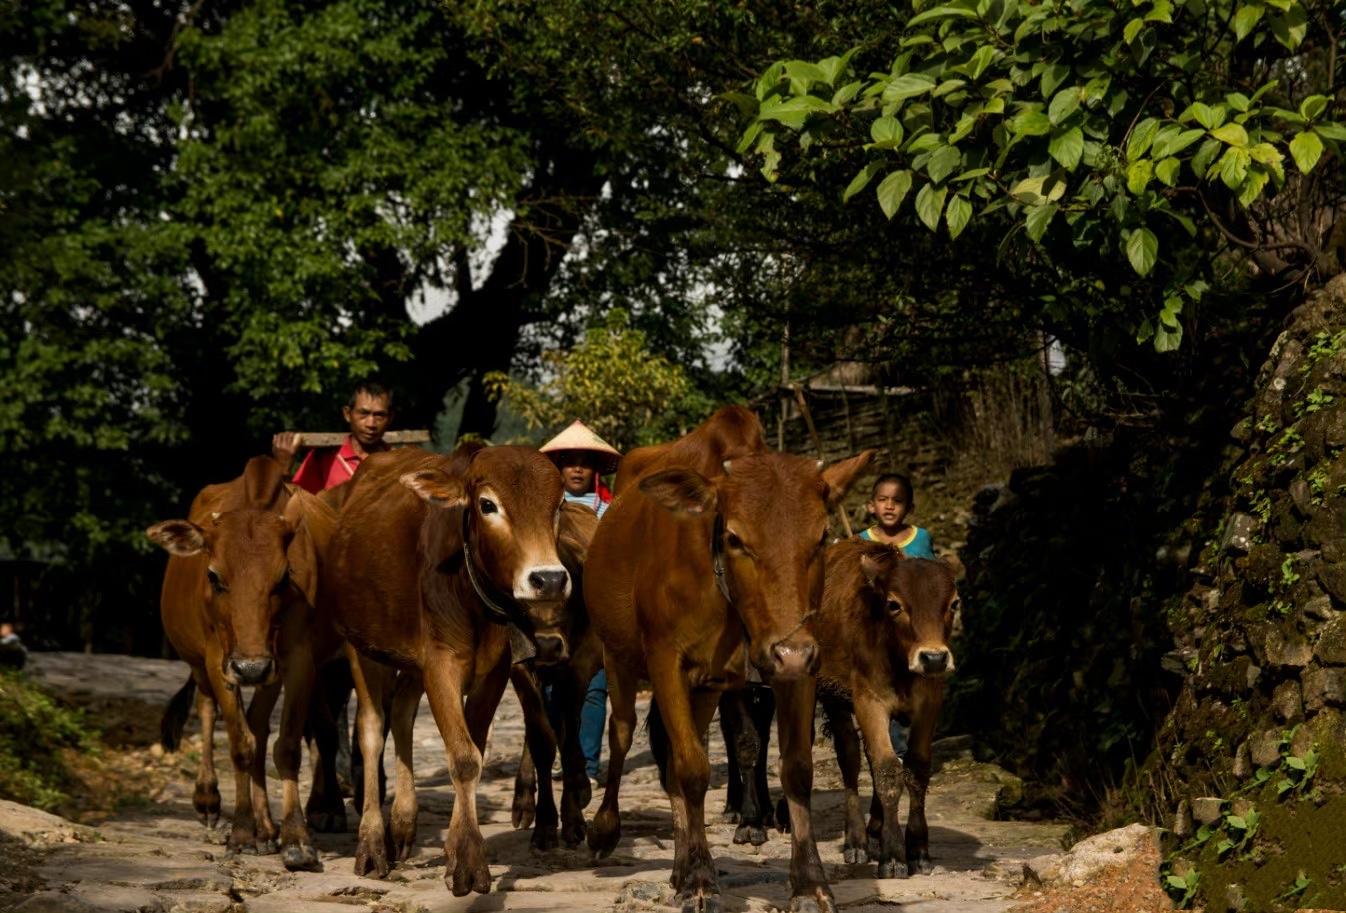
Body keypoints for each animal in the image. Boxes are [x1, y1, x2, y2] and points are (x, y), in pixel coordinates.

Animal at [147, 457, 341, 872]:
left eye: (283, 577)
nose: (250, 669)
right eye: (213, 575)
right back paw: (209, 799)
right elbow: (239, 744)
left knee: (264, 728)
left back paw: (267, 829)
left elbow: (283, 744)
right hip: (202, 667)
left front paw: (295, 838)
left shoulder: (294, 660)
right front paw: (240, 833)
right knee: (207, 711)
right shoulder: (218, 660)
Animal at [323, 447, 581, 899]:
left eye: (559, 505)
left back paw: (403, 825)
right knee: (371, 730)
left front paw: (457, 851)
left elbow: (472, 750)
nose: (548, 579)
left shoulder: (492, 672)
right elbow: (462, 758)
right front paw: (470, 864)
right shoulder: (440, 665)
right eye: (487, 505)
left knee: (403, 715)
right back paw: (372, 845)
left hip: (410, 662)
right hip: (362, 649)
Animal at [586, 412, 872, 913]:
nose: (789, 653)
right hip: (618, 659)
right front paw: (702, 879)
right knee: (623, 735)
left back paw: (679, 865)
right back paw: (606, 831)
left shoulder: (796, 666)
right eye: (735, 538)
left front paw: (809, 882)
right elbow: (694, 769)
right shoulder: (666, 662)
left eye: (821, 537)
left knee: (671, 758)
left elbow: (796, 769)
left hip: (706, 689)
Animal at [807, 544, 958, 877]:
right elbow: (888, 770)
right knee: (850, 757)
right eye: (893, 604)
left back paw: (875, 825)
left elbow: (916, 768)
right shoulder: (869, 702)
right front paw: (893, 853)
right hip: (831, 696)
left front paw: (918, 848)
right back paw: (857, 841)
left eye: (954, 603)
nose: (933, 658)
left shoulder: (930, 703)